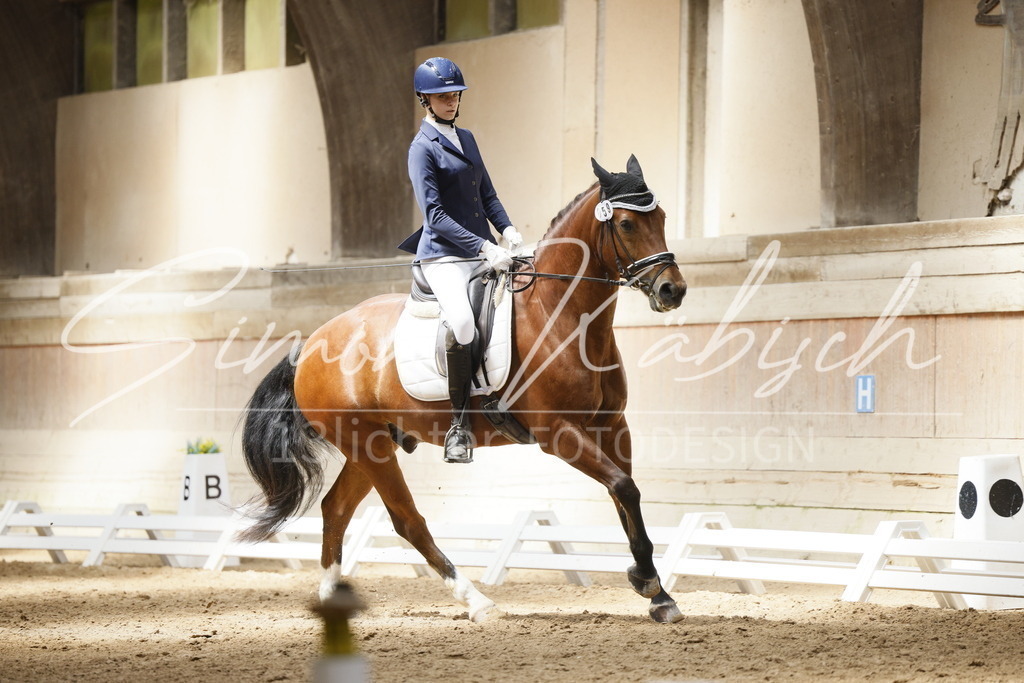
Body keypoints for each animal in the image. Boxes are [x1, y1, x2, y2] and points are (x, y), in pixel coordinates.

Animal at [238, 155, 688, 623]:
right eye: (625, 224)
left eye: (661, 218)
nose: (673, 290)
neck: (560, 314)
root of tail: (312, 342)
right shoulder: (558, 433)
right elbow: (623, 487)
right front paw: (648, 582)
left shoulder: (612, 425)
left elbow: (625, 493)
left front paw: (656, 591)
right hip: (366, 443)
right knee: (406, 520)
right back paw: (476, 601)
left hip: (373, 444)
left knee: (336, 509)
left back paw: (330, 602)